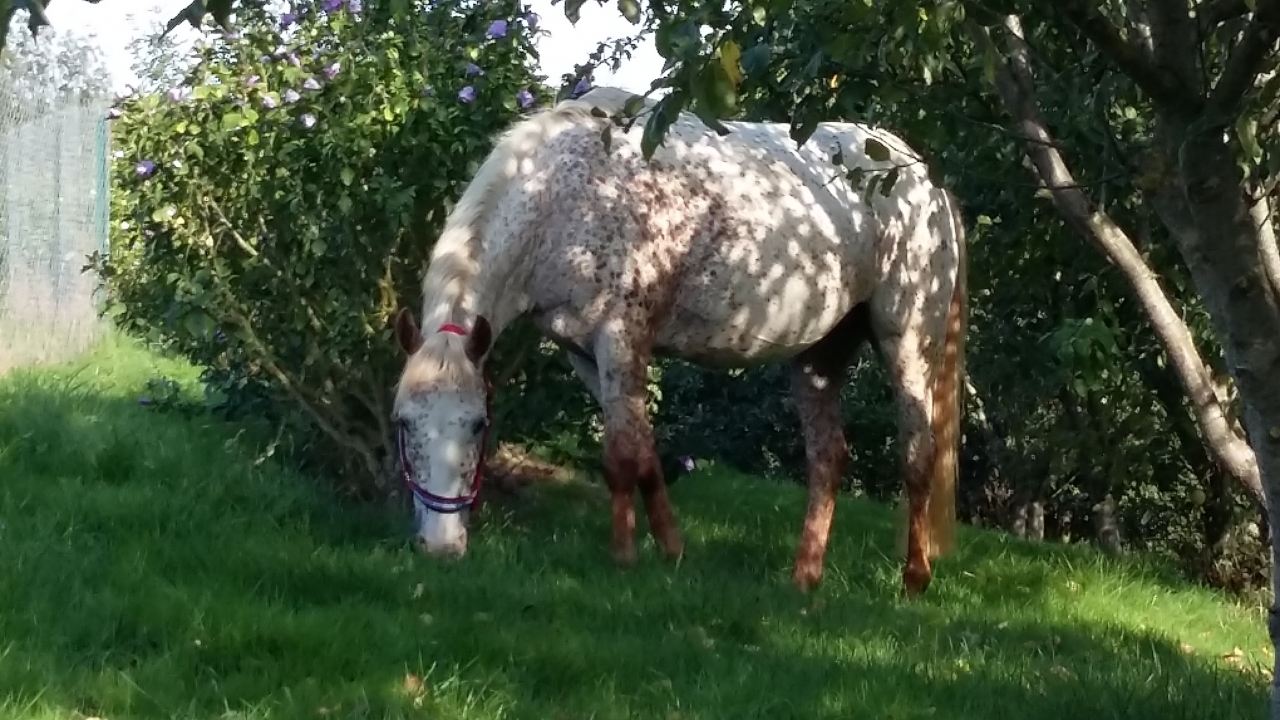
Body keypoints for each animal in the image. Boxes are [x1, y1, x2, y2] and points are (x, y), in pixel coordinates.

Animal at [392, 86, 967, 596]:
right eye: (403, 422)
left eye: (477, 423)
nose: (441, 547)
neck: (563, 197)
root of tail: (925, 179)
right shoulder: (585, 354)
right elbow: (645, 452)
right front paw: (672, 550)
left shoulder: (621, 338)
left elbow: (621, 457)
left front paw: (624, 558)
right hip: (819, 357)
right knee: (828, 458)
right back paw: (805, 579)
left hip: (907, 338)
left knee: (917, 453)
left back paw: (914, 578)